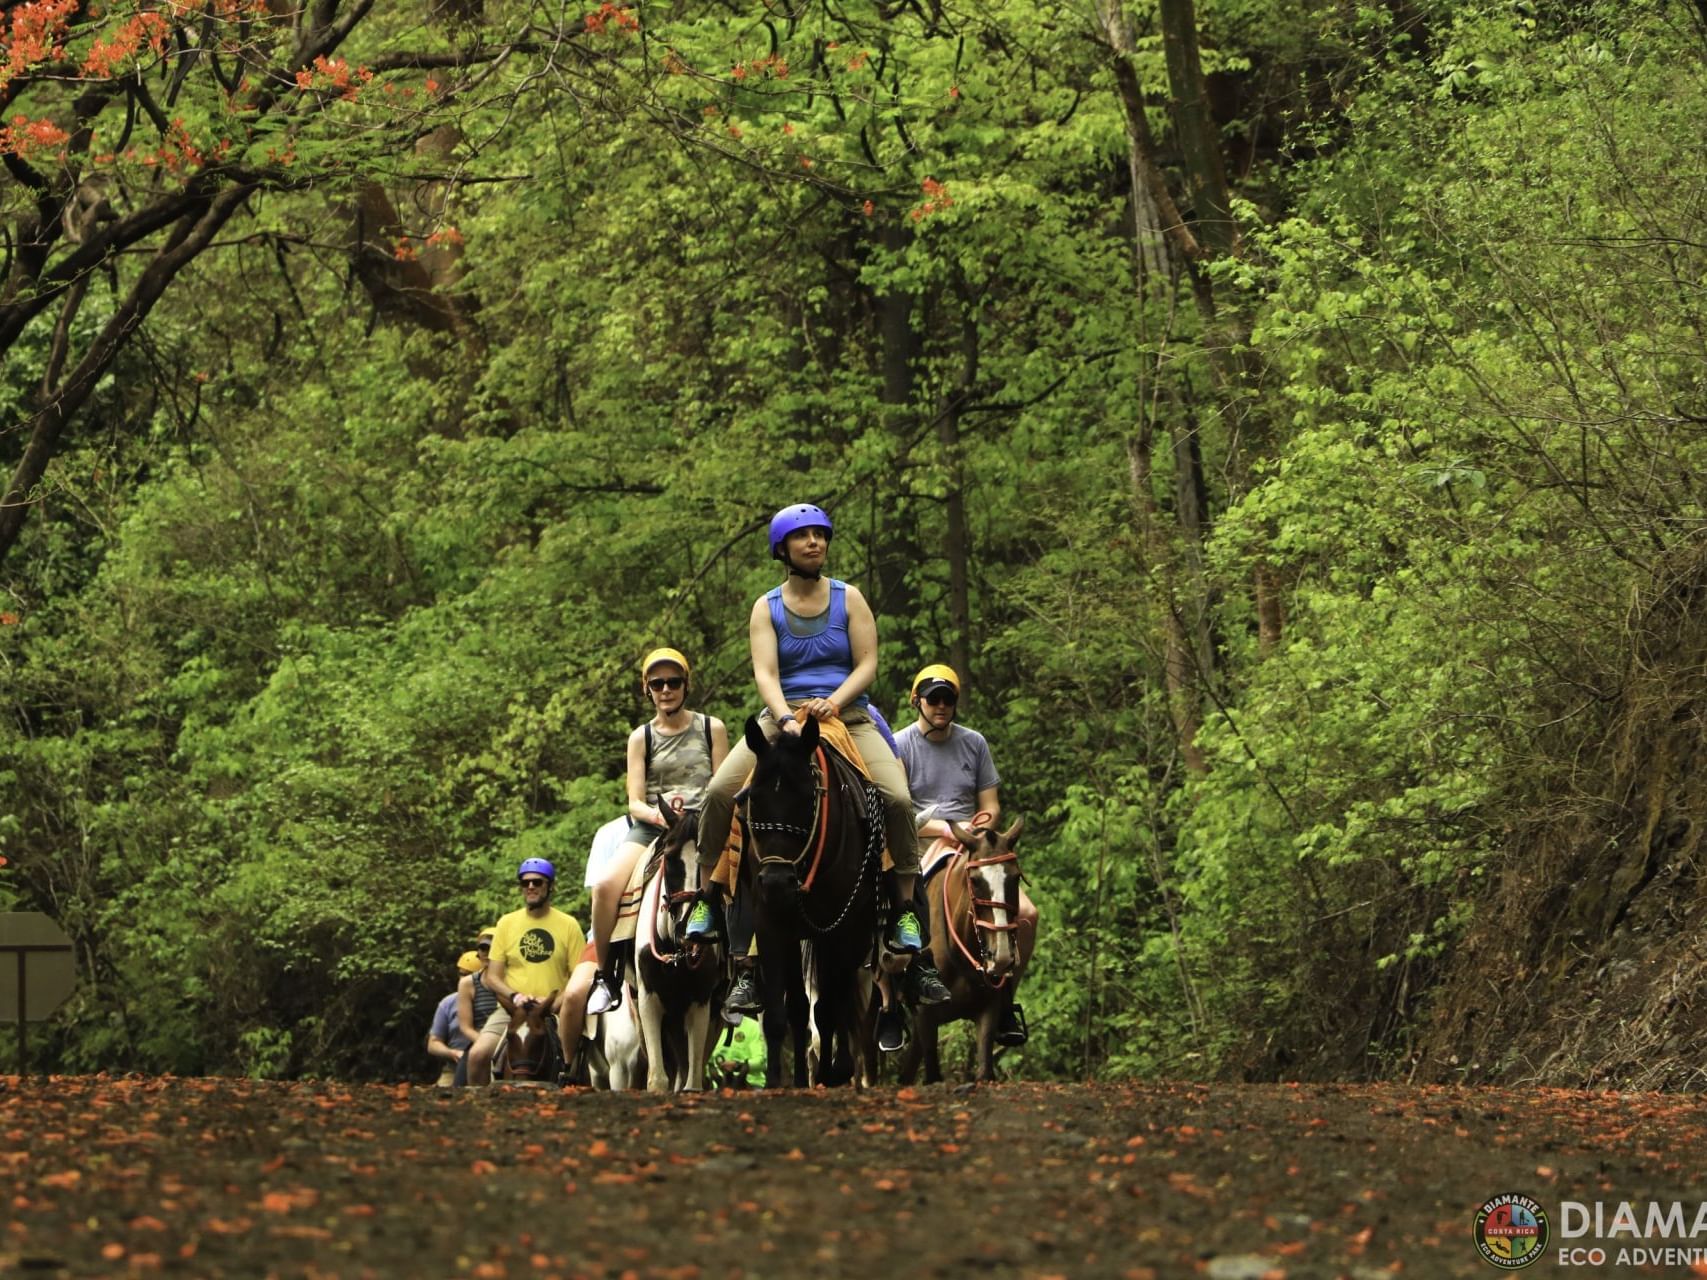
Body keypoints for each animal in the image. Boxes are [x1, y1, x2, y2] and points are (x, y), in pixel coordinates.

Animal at [740, 716, 880, 1085]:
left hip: (855, 934)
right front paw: (779, 1081)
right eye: (753, 797)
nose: (776, 882)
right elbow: (787, 1013)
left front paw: (834, 1071)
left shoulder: (836, 928)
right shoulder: (773, 925)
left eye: (807, 798)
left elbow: (829, 1007)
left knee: (843, 999)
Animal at [894, 822, 1024, 1085]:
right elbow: (933, 1073)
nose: (1001, 957)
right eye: (975, 880)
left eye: (1015, 877)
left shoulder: (989, 1009)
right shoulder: (926, 1016)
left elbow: (985, 1070)